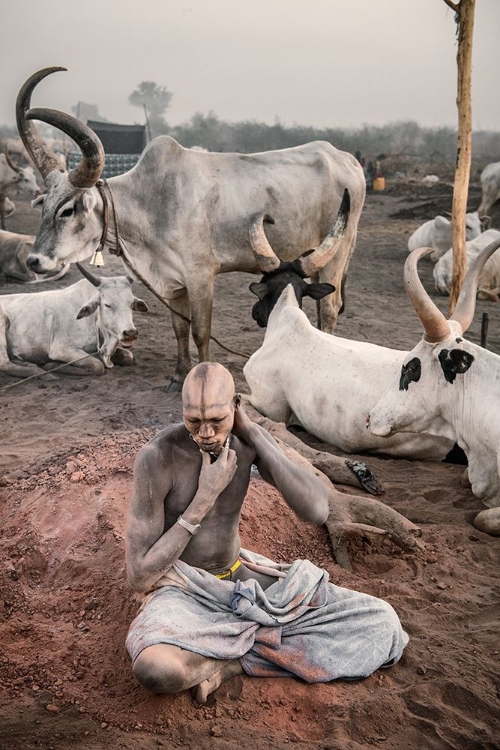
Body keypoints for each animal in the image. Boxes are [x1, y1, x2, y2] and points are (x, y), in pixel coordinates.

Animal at [0, 264, 147, 382]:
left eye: (131, 304)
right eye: (107, 305)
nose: (130, 333)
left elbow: (128, 356)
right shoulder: (61, 349)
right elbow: (97, 366)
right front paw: (52, 365)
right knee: (5, 365)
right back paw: (45, 374)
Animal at [17, 67, 366, 390]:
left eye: (67, 210)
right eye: (45, 207)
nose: (34, 261)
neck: (153, 202)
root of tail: (346, 158)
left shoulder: (201, 277)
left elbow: (201, 330)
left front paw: (203, 376)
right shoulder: (172, 283)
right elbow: (179, 328)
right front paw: (178, 375)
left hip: (336, 255)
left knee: (329, 308)